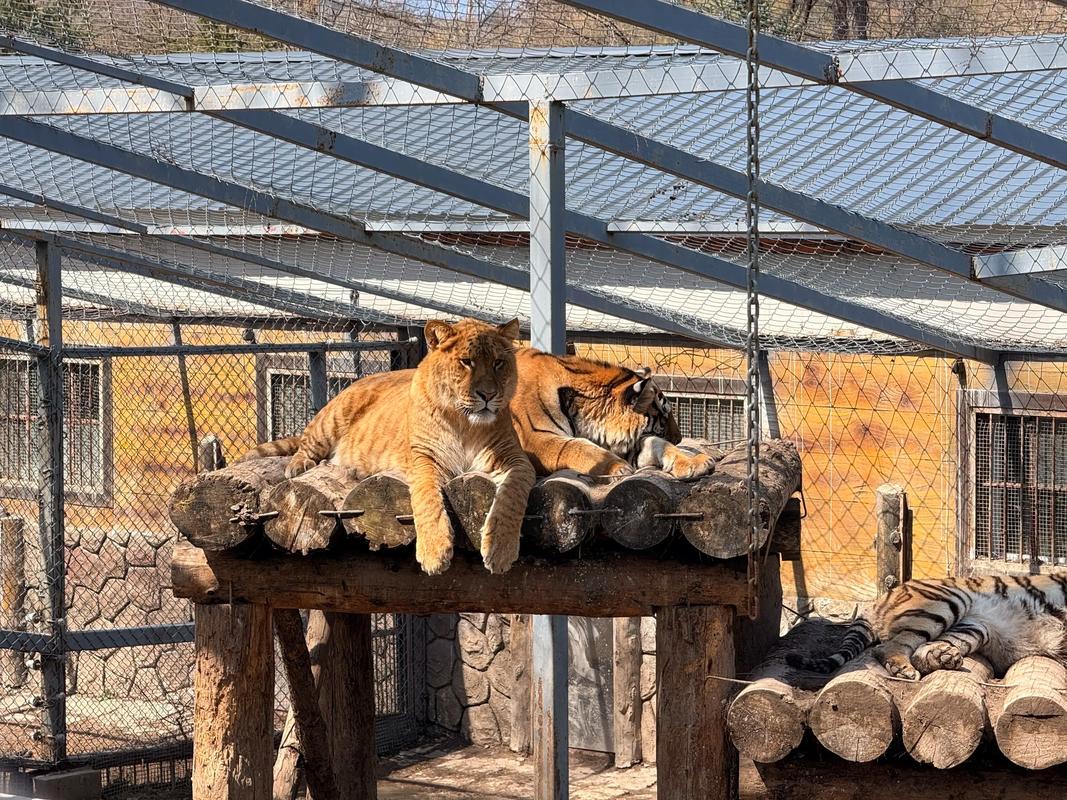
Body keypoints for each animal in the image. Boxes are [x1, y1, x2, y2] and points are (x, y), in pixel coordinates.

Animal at [244, 318, 535, 577]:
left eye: (498, 363)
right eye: (466, 362)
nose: (488, 395)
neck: (467, 425)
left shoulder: (516, 460)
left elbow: (511, 498)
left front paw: (500, 550)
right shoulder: (423, 460)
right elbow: (427, 501)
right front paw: (434, 554)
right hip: (332, 417)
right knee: (306, 443)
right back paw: (299, 465)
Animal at [787, 574, 1067, 680]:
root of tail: (882, 598)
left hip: (974, 626)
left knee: (922, 652)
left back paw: (943, 657)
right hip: (946, 601)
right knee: (890, 647)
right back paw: (904, 669)